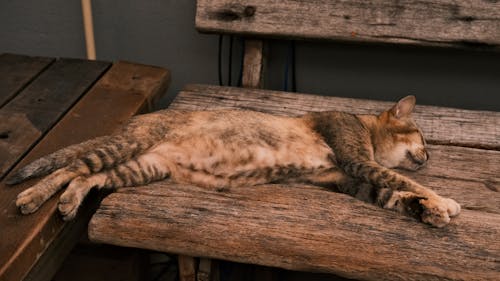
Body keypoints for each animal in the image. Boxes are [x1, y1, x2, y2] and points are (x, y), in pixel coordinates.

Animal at [7, 95, 460, 226]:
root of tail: (136, 119)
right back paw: (31, 198)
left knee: (89, 177)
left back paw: (68, 203)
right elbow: (406, 181)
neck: (364, 126)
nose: (429, 153)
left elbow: (395, 194)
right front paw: (446, 201)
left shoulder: (347, 180)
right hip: (128, 147)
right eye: (421, 137)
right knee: (71, 166)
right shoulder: (354, 160)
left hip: (142, 167)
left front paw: (429, 211)